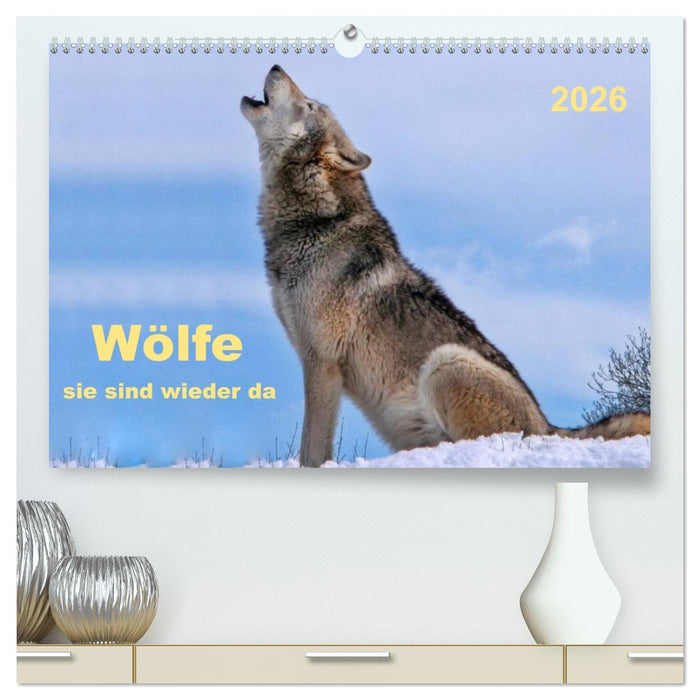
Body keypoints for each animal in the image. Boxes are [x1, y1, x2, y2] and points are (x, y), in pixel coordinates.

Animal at [241, 65, 650, 468]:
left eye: (309, 104)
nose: (276, 66)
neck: (316, 221)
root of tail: (550, 427)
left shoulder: (322, 362)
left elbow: (312, 449)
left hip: (445, 362)